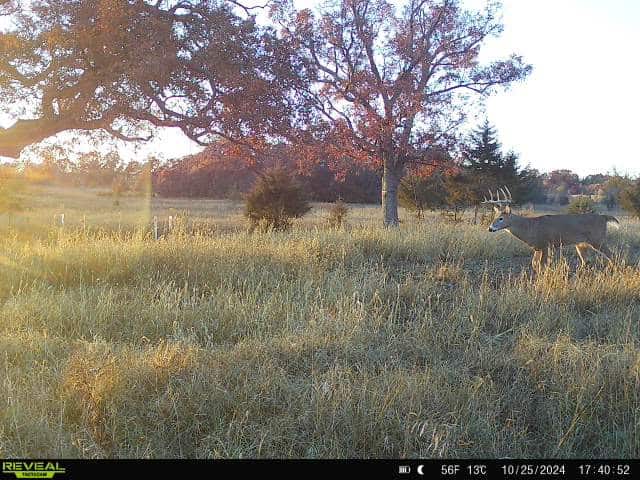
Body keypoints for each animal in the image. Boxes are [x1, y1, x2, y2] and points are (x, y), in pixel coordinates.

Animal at [483, 187, 619, 273]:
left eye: (501, 218)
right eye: (494, 217)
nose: (490, 228)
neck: (530, 228)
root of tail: (603, 217)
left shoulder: (546, 244)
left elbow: (541, 265)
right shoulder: (538, 247)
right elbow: (534, 264)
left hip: (598, 239)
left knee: (612, 255)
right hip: (581, 244)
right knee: (586, 261)